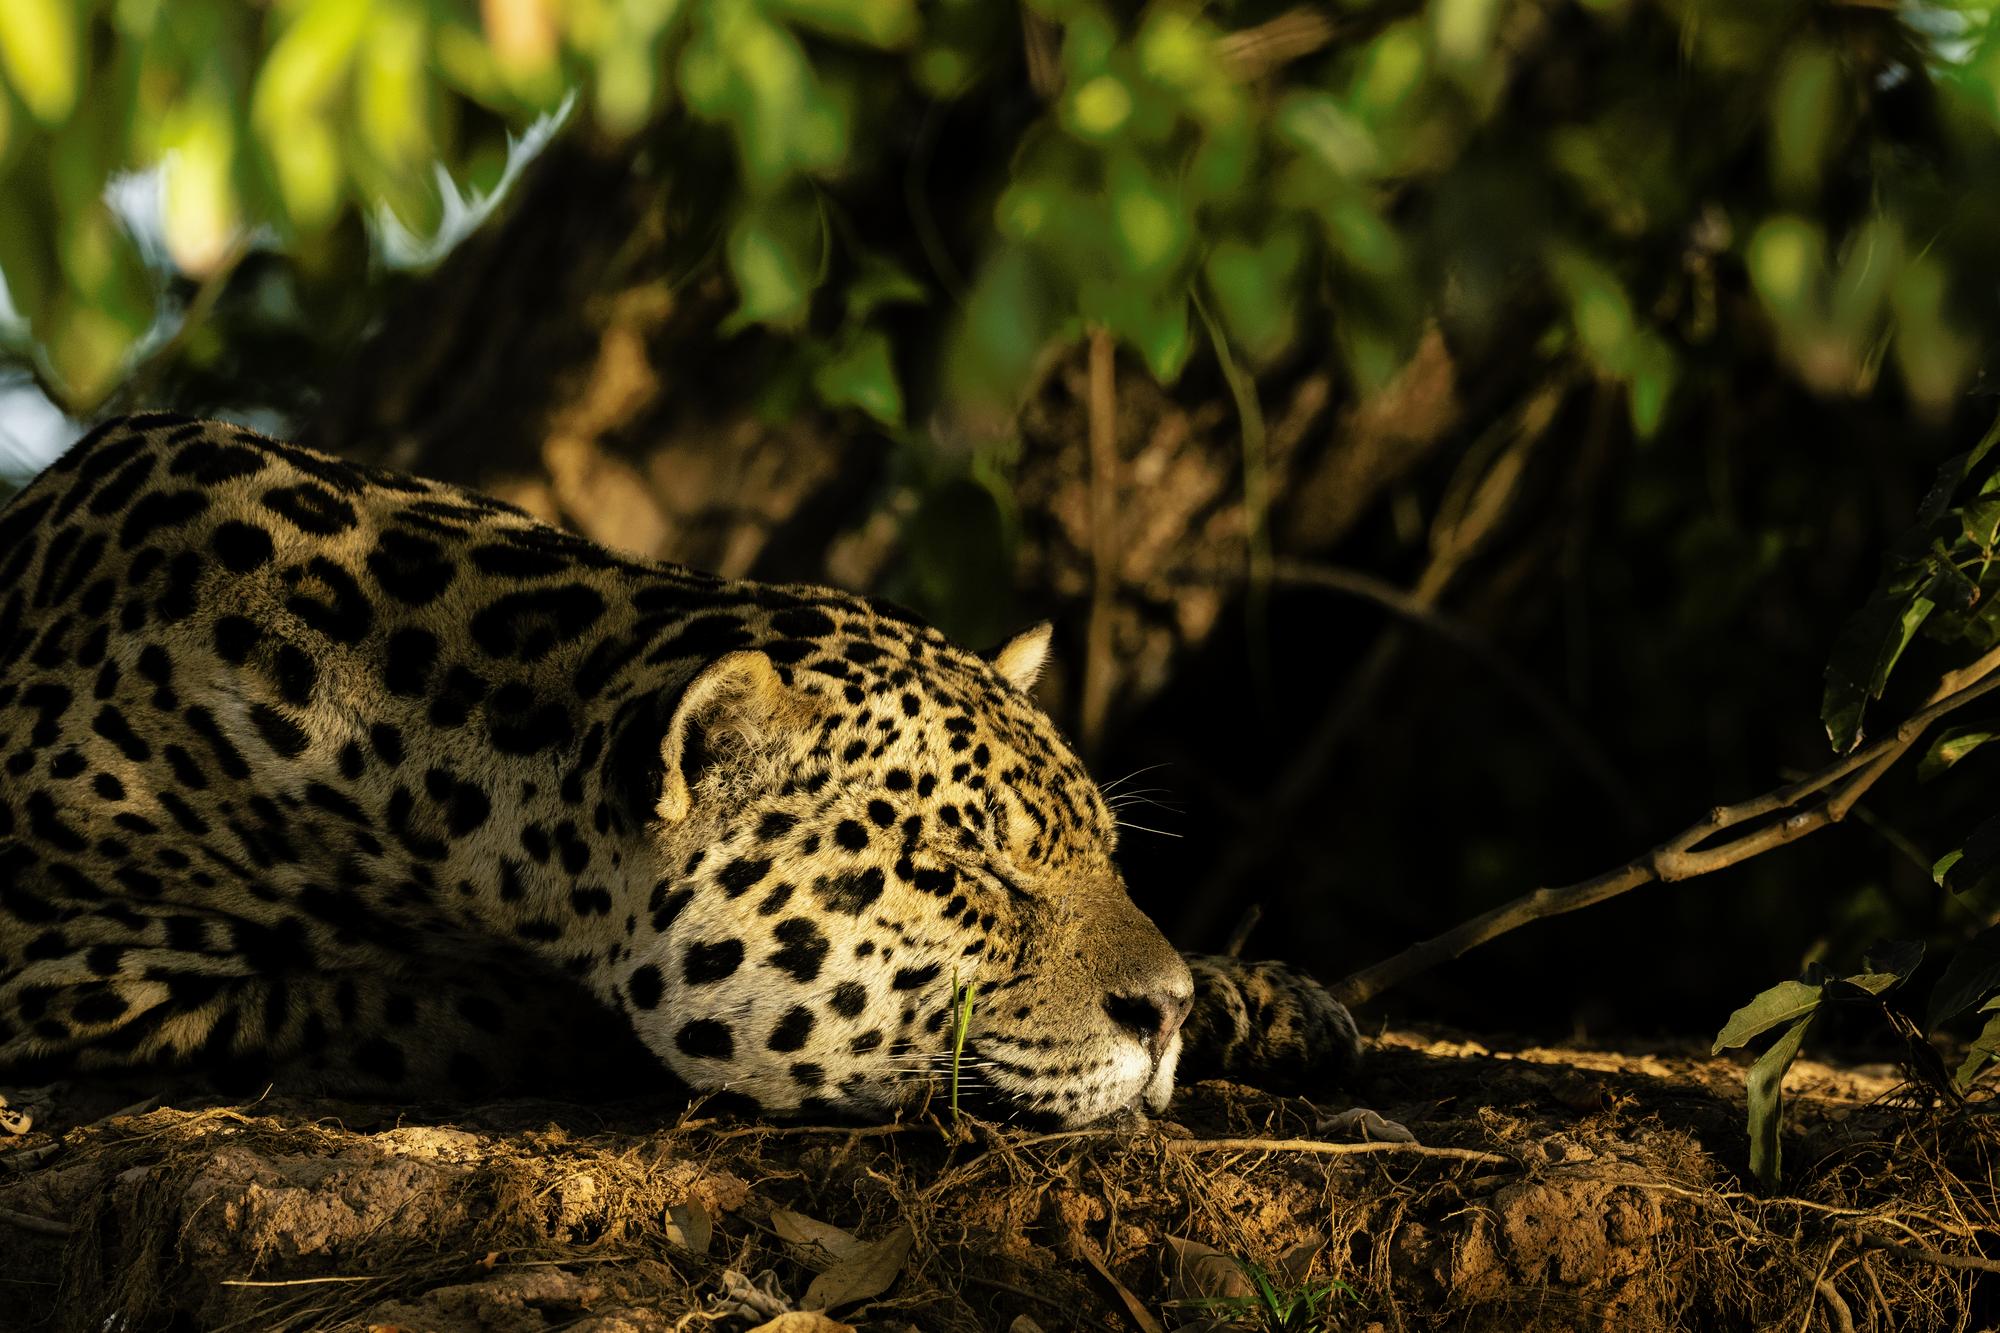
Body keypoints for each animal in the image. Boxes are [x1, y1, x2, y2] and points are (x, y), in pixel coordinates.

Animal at [0, 413, 1359, 1129]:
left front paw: (1265, 994)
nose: (1162, 1013)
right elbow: (454, 1003)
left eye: (1107, 860)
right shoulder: (78, 981)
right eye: (963, 870)